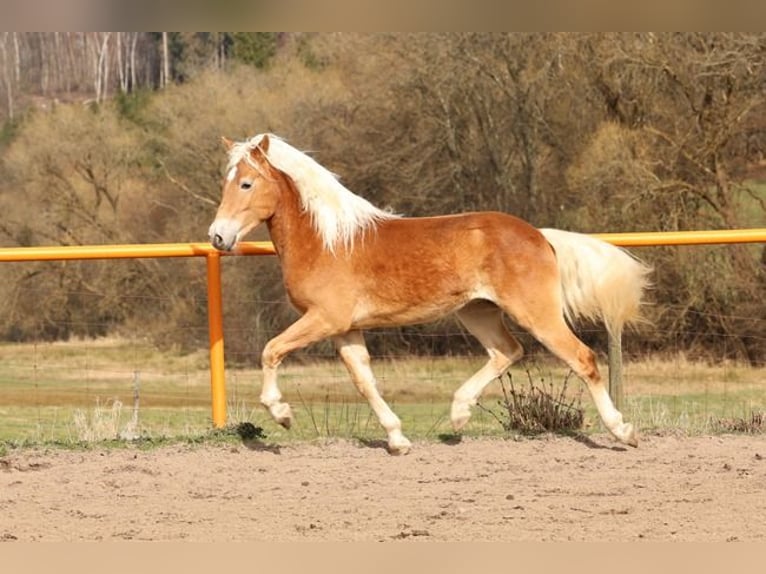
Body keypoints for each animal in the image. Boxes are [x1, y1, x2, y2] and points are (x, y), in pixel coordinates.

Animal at [209, 133, 651, 455]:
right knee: (507, 352)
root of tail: (540, 236)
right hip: (477, 311)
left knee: (583, 358)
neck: (327, 240)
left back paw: (623, 431)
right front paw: (397, 439)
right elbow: (364, 381)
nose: (218, 237)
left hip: (536, 314)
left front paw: (281, 414)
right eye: (224, 182)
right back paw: (458, 415)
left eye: (246, 183)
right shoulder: (345, 329)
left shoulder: (324, 319)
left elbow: (271, 350)